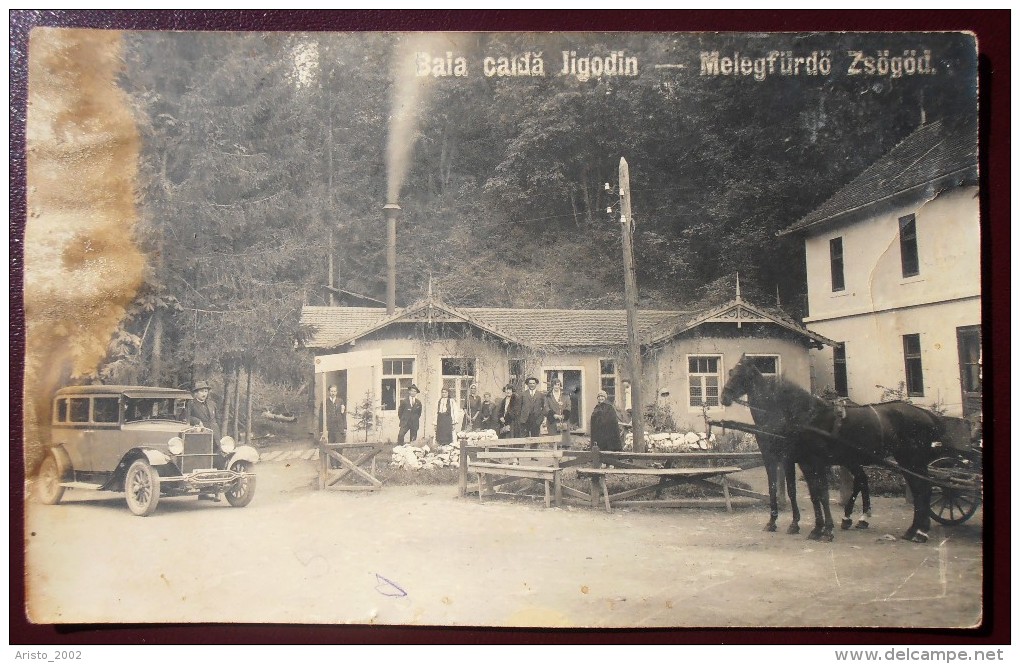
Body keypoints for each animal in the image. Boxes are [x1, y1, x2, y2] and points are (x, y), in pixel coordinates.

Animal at [718, 354, 938, 542]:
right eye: (730, 371)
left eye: (740, 374)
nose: (723, 397)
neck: (801, 417)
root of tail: (926, 414)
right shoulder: (779, 459)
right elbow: (790, 490)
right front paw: (781, 523)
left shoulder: (799, 460)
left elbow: (808, 491)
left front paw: (810, 526)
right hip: (886, 460)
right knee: (883, 483)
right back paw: (888, 525)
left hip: (911, 460)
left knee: (922, 489)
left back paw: (919, 531)